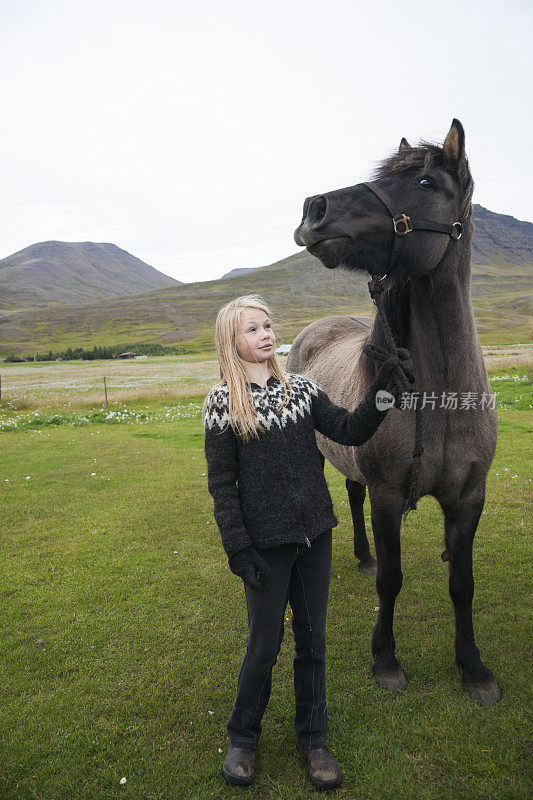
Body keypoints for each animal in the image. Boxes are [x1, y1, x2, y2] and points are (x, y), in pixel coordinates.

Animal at [288, 120, 500, 708]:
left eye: (426, 182)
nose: (314, 208)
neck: (441, 399)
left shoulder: (469, 499)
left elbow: (463, 584)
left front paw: (473, 667)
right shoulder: (387, 497)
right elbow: (392, 580)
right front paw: (385, 659)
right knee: (352, 503)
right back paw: (363, 555)